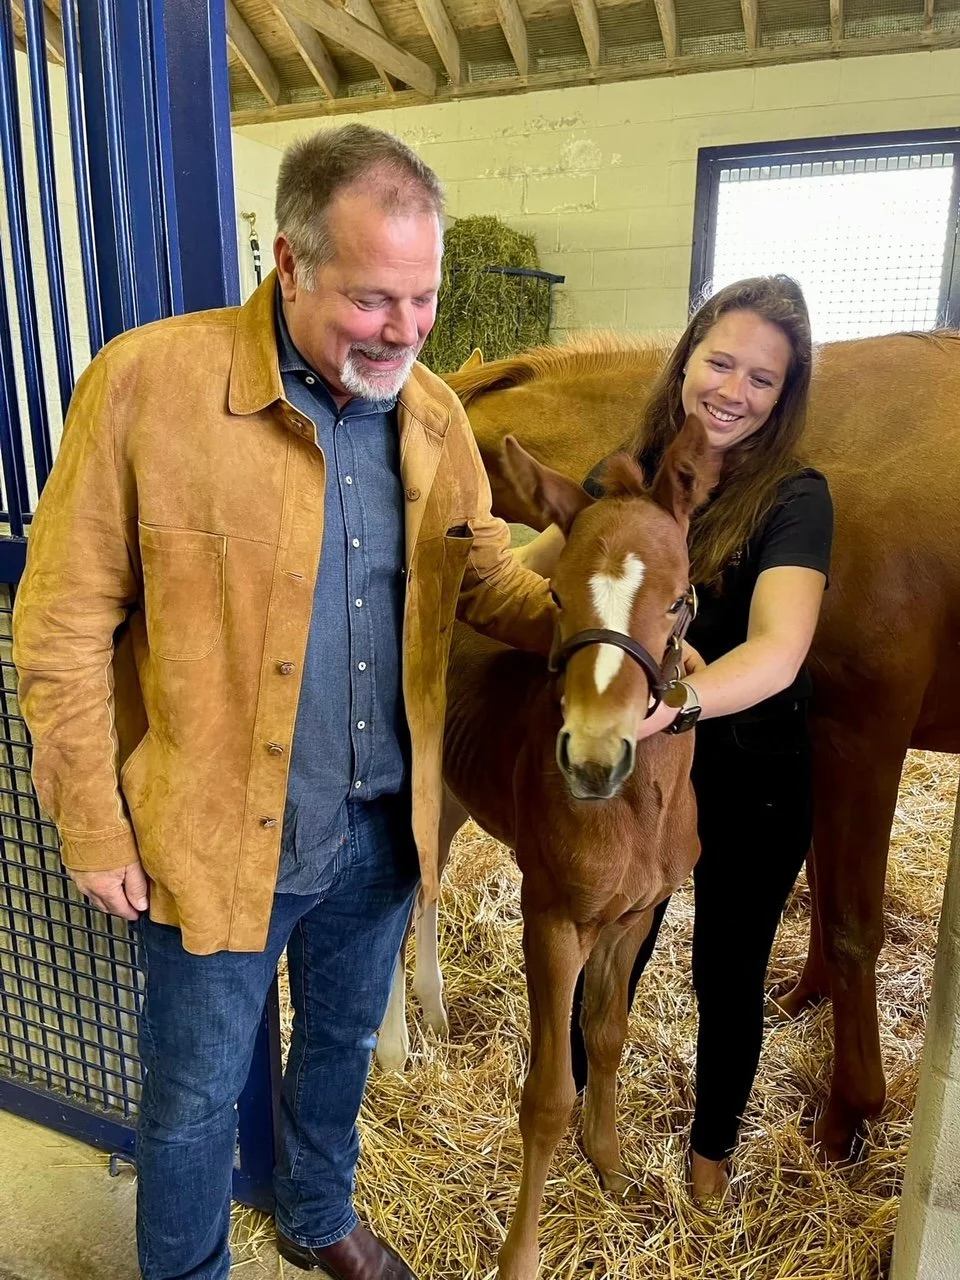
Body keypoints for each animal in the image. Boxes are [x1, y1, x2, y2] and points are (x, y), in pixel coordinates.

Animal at [408, 420, 707, 1280]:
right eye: (557, 598)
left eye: (677, 600)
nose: (593, 760)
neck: (635, 810)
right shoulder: (552, 919)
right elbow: (547, 1095)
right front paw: (521, 1255)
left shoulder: (635, 916)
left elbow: (605, 1040)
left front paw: (611, 1166)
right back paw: (395, 1046)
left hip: (453, 797)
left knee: (427, 890)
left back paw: (434, 1011)